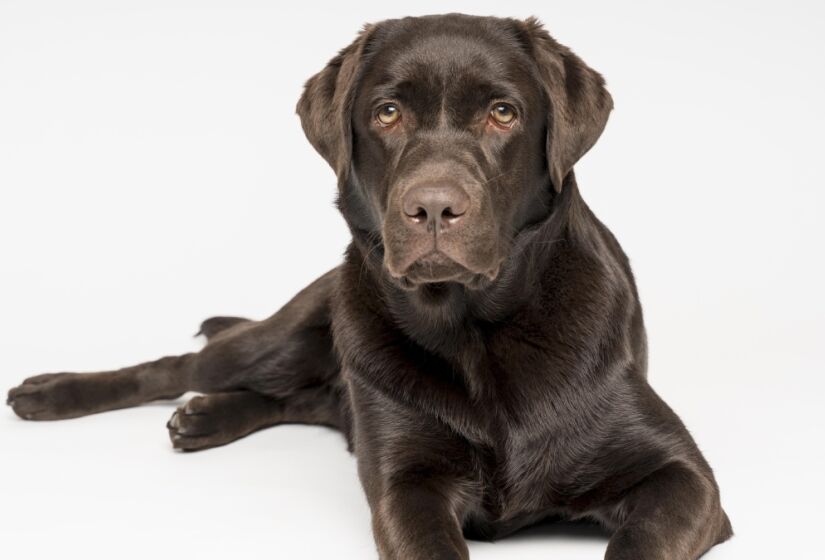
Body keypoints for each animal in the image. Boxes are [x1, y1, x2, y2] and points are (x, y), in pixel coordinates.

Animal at [6, 13, 732, 560]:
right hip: (294, 334)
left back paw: (205, 416)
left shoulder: (685, 479)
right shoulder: (403, 484)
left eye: (503, 112)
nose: (432, 207)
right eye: (386, 112)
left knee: (302, 399)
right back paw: (53, 392)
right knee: (186, 365)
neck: (474, 331)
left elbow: (640, 539)